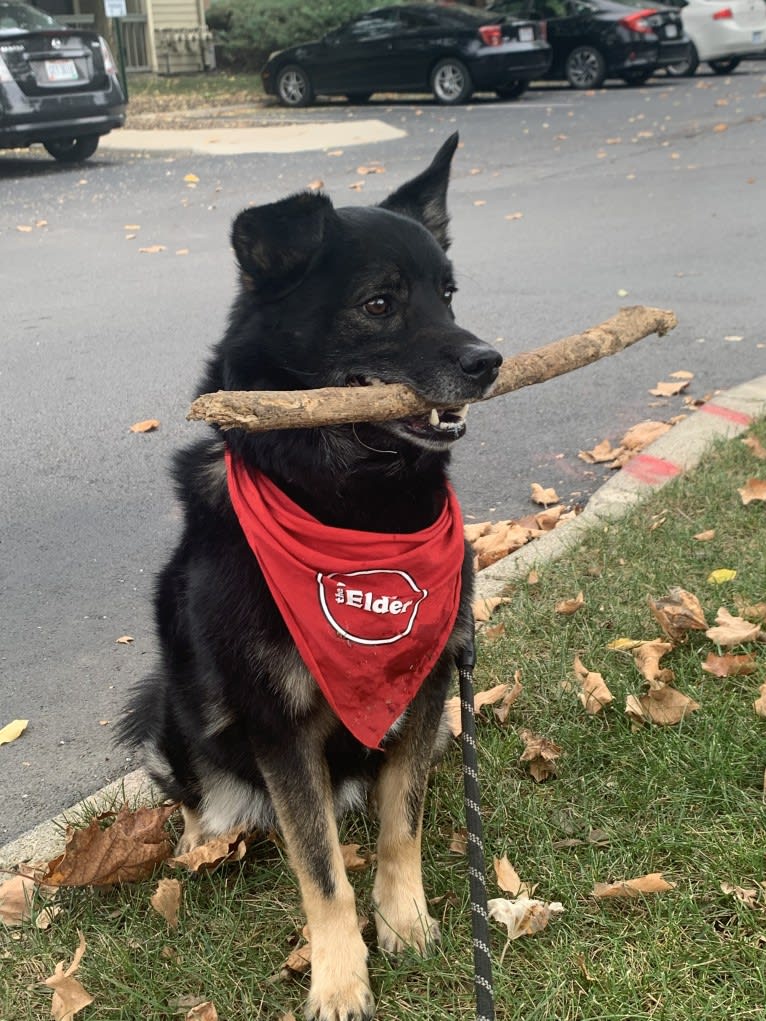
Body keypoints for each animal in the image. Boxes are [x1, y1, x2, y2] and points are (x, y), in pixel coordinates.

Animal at [118, 131, 504, 1016]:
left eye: (449, 293)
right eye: (379, 304)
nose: (490, 360)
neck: (353, 510)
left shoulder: (430, 683)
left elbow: (402, 824)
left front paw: (404, 921)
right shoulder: (276, 721)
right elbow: (321, 870)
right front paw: (339, 976)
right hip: (188, 704)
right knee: (196, 788)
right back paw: (202, 840)